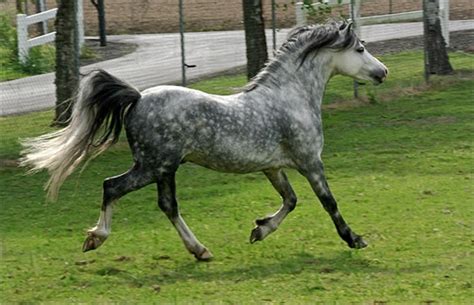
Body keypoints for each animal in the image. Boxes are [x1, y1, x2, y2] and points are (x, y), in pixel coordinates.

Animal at [20, 21, 386, 260]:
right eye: (360, 48)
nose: (383, 72)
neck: (290, 97)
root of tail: (138, 98)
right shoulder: (310, 162)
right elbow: (328, 202)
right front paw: (355, 239)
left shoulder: (273, 167)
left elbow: (290, 200)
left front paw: (259, 229)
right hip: (155, 166)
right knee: (115, 187)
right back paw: (101, 239)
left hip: (162, 169)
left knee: (164, 204)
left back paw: (197, 250)